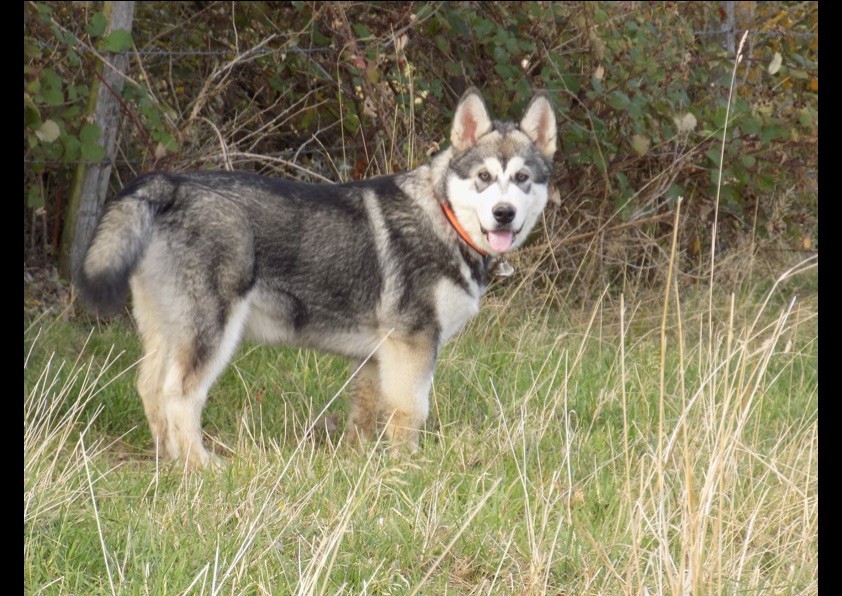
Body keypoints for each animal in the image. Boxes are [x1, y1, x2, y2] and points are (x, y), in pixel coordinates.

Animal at [75, 88, 556, 470]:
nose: (504, 214)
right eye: (484, 178)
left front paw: (360, 461)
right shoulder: (414, 344)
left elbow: (366, 414)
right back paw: (200, 466)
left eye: (522, 178)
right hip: (211, 333)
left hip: (167, 330)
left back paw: (168, 459)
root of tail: (168, 184)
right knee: (178, 396)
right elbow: (410, 414)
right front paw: (409, 467)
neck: (444, 216)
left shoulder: (377, 357)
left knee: (148, 387)